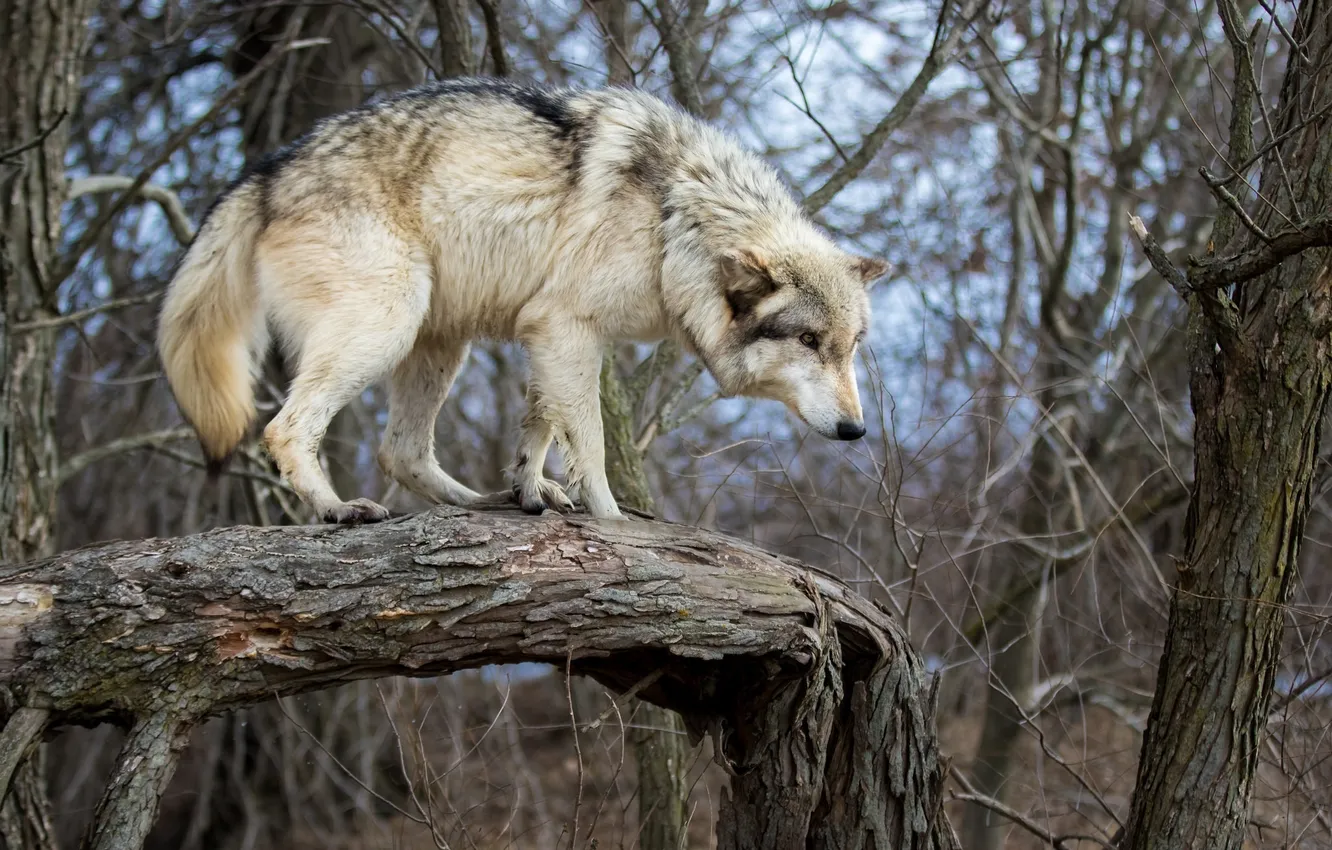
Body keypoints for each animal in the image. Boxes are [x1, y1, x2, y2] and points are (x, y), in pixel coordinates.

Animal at [158, 78, 887, 523]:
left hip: (436, 343)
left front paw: (530, 489)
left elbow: (537, 425)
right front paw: (613, 522)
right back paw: (338, 510)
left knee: (402, 451)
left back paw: (478, 502)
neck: (676, 216)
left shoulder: (548, 334)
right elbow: (589, 444)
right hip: (386, 324)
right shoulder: (568, 330)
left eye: (850, 348)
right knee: (285, 429)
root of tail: (266, 171)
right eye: (809, 341)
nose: (857, 431)